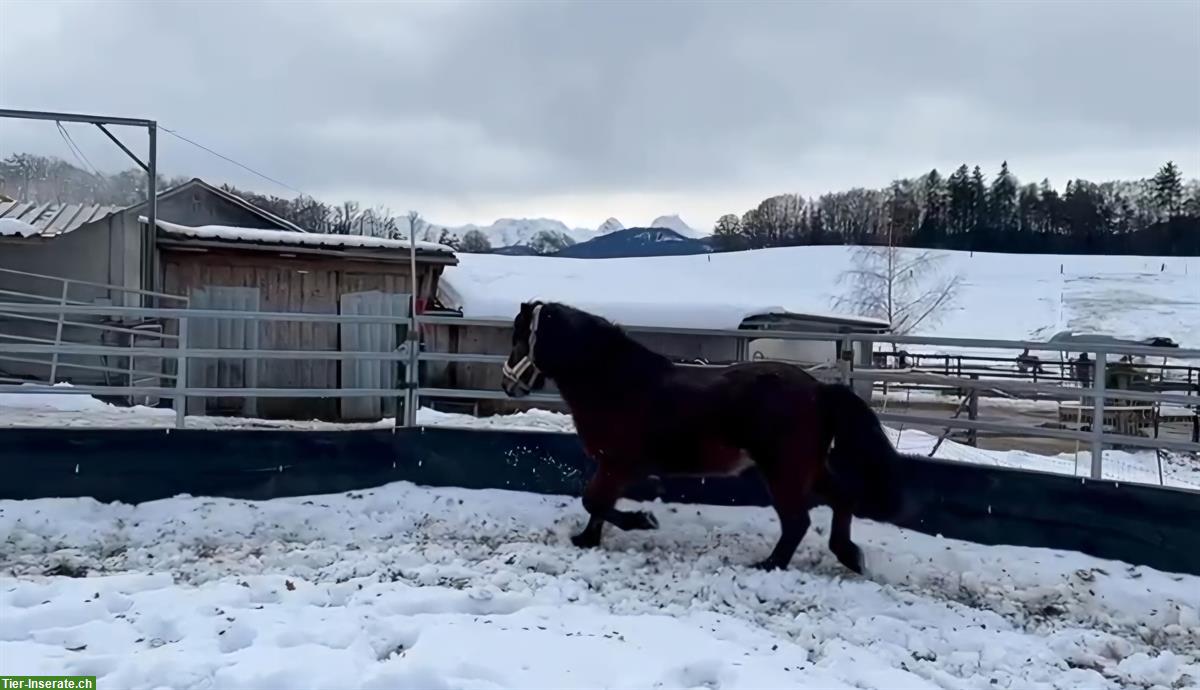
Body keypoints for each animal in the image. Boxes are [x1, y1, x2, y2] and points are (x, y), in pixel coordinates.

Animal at [499, 300, 907, 576]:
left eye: (519, 341)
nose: (507, 385)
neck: (616, 383)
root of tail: (820, 390)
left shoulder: (618, 464)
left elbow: (594, 501)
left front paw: (643, 521)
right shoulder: (612, 466)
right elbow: (597, 505)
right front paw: (587, 540)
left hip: (784, 472)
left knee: (797, 522)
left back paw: (770, 564)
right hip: (809, 468)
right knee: (841, 500)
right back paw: (849, 555)